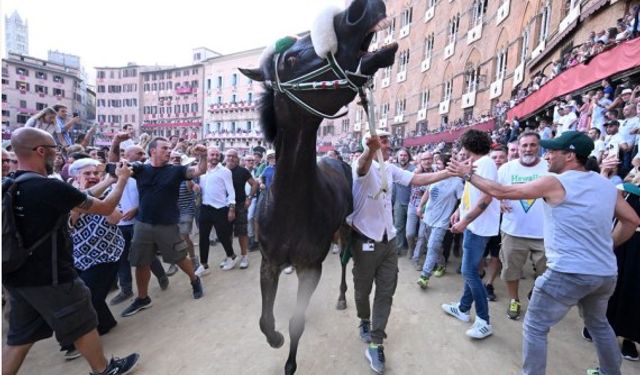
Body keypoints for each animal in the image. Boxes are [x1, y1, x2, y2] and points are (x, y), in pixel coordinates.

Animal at [238, 0, 398, 374]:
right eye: (290, 60)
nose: (357, 10)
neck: (289, 205)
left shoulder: (311, 266)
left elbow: (296, 321)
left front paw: (289, 360)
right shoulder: (269, 261)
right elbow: (265, 321)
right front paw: (276, 338)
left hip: (346, 231)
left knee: (346, 263)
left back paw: (341, 297)